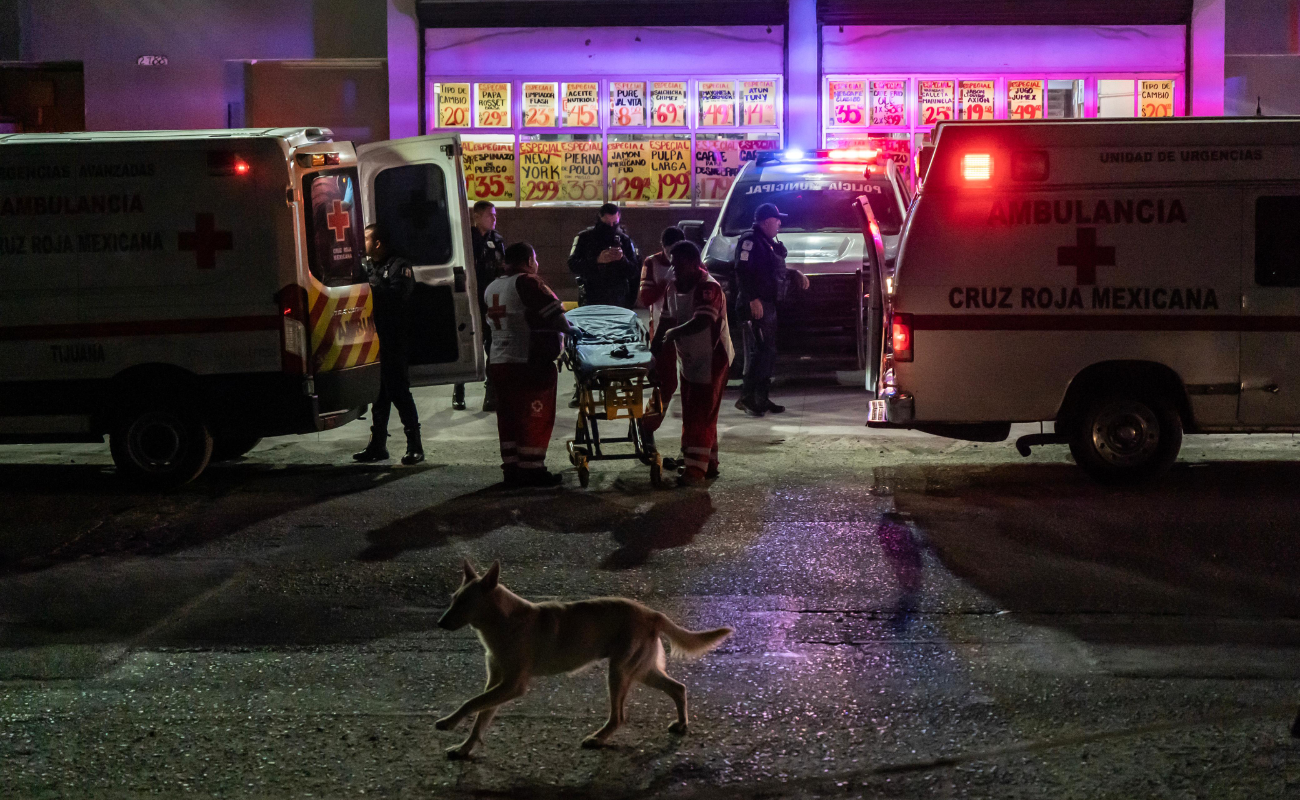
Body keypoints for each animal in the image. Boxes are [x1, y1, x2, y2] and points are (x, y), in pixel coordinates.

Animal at [434, 564, 733, 759]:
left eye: (464, 602)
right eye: (453, 599)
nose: (439, 623)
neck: (504, 621)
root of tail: (651, 613)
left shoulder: (512, 685)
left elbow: (470, 702)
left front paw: (448, 722)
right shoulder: (497, 684)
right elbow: (479, 716)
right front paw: (464, 748)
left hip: (619, 672)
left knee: (619, 716)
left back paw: (598, 739)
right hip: (642, 671)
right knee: (678, 688)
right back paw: (681, 724)